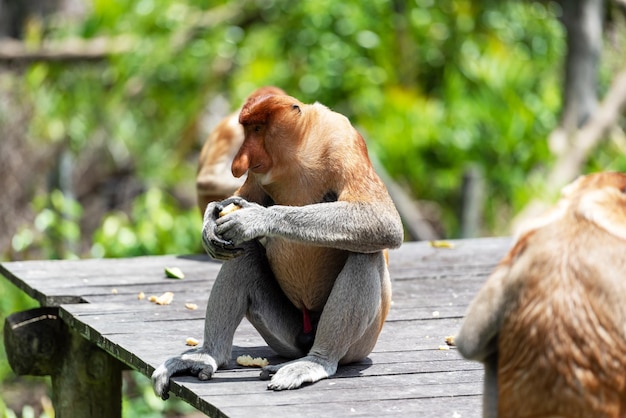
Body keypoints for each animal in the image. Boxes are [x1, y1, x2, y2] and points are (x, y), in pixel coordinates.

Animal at [154, 92, 402, 398]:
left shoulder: (343, 140)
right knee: (244, 252)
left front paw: (255, 218)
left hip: (361, 344)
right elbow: (242, 198)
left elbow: (383, 219)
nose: (239, 164)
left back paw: (316, 362)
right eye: (246, 130)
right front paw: (211, 219)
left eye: (258, 129)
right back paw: (208, 355)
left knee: (365, 253)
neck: (298, 152)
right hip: (284, 335)